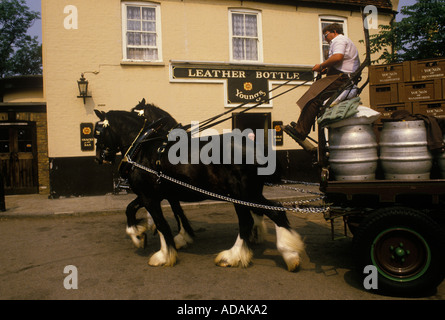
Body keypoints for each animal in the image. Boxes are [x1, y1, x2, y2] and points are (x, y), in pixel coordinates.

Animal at [92, 102, 304, 270]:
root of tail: (258, 148)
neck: (143, 148)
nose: (99, 158)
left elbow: (161, 224)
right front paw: (139, 236)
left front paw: (164, 254)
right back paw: (289, 253)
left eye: (98, 133)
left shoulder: (150, 196)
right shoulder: (155, 194)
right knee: (275, 210)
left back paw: (233, 255)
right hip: (251, 193)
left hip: (240, 194)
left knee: (249, 220)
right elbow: (133, 209)